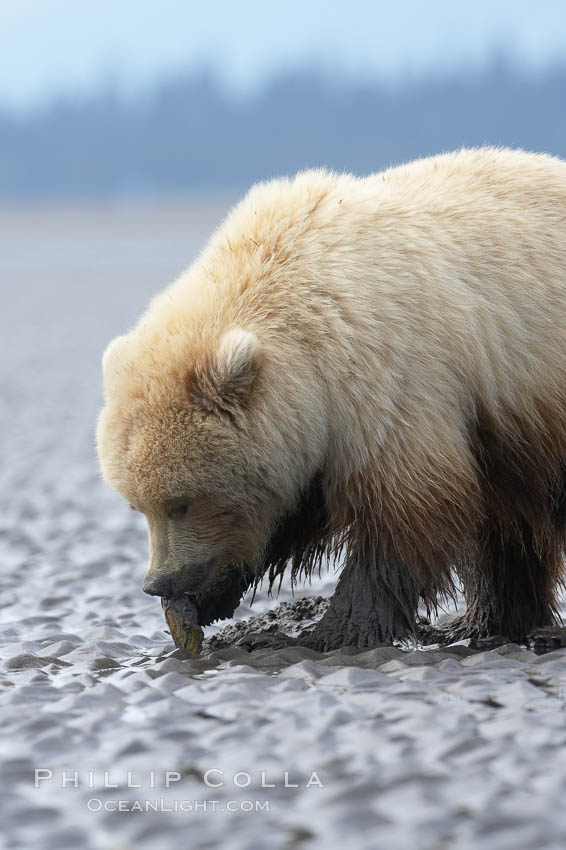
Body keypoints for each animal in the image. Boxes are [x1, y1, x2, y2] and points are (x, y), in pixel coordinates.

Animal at [97, 147, 566, 651]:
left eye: (180, 502)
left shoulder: (390, 375)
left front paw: (334, 629)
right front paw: (203, 600)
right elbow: (293, 509)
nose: (158, 582)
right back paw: (486, 621)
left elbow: (406, 508)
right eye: (137, 505)